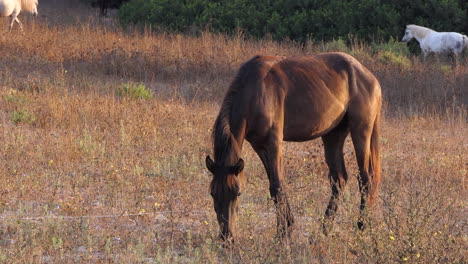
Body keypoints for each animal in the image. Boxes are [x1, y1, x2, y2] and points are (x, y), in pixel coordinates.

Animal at [207, 51, 382, 241]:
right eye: (212, 193)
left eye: (237, 193)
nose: (226, 237)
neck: (254, 91)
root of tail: (369, 77)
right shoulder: (259, 145)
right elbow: (276, 185)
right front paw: (288, 226)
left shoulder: (274, 143)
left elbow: (276, 186)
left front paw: (282, 233)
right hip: (333, 135)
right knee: (339, 180)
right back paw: (324, 229)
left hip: (361, 132)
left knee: (365, 179)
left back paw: (361, 226)